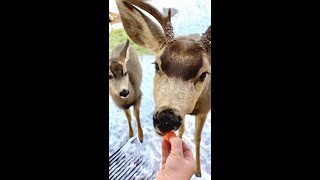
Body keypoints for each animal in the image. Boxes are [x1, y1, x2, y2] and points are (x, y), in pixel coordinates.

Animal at [116, 0, 211, 177]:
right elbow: (184, 130)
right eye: (156, 65)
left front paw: (198, 171)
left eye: (204, 74)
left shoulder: (205, 110)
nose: (167, 118)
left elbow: (198, 138)